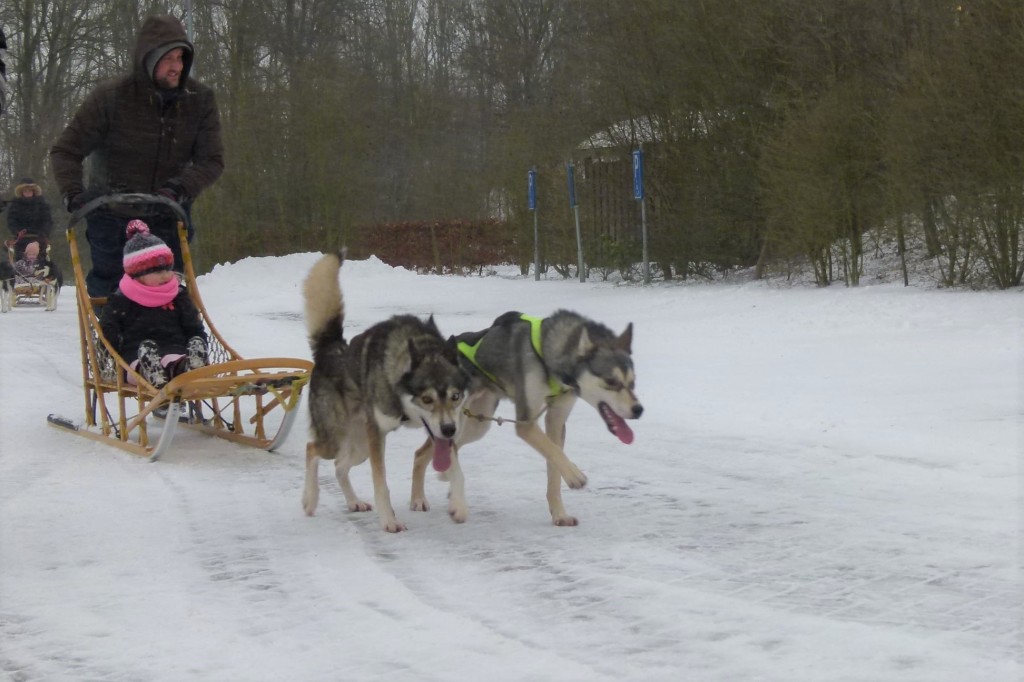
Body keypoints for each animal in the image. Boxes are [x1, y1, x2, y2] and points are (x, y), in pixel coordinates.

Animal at [299, 249, 468, 532]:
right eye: (427, 399)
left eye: (455, 397)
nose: (449, 429)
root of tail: (331, 349)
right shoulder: (378, 433)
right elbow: (381, 483)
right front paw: (389, 519)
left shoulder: (440, 432)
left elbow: (456, 470)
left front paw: (458, 504)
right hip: (342, 438)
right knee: (312, 449)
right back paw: (310, 499)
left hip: (360, 446)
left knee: (339, 465)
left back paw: (353, 502)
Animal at [407, 311, 638, 522]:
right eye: (611, 381)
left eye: (633, 382)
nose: (639, 409)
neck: (547, 354)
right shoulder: (527, 423)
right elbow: (555, 452)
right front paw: (574, 474)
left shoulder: (556, 419)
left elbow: (554, 466)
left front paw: (560, 514)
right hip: (456, 419)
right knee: (433, 451)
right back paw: (439, 502)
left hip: (475, 424)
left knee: (429, 452)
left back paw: (438, 488)